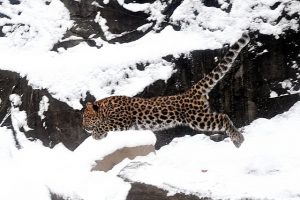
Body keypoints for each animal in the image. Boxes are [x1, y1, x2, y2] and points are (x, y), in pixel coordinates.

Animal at [83, 32, 250, 148]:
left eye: (85, 117)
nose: (84, 127)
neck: (105, 108)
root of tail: (191, 91)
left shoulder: (121, 120)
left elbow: (104, 124)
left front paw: (96, 135)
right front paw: (101, 135)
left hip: (197, 118)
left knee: (223, 117)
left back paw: (238, 139)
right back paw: (238, 139)